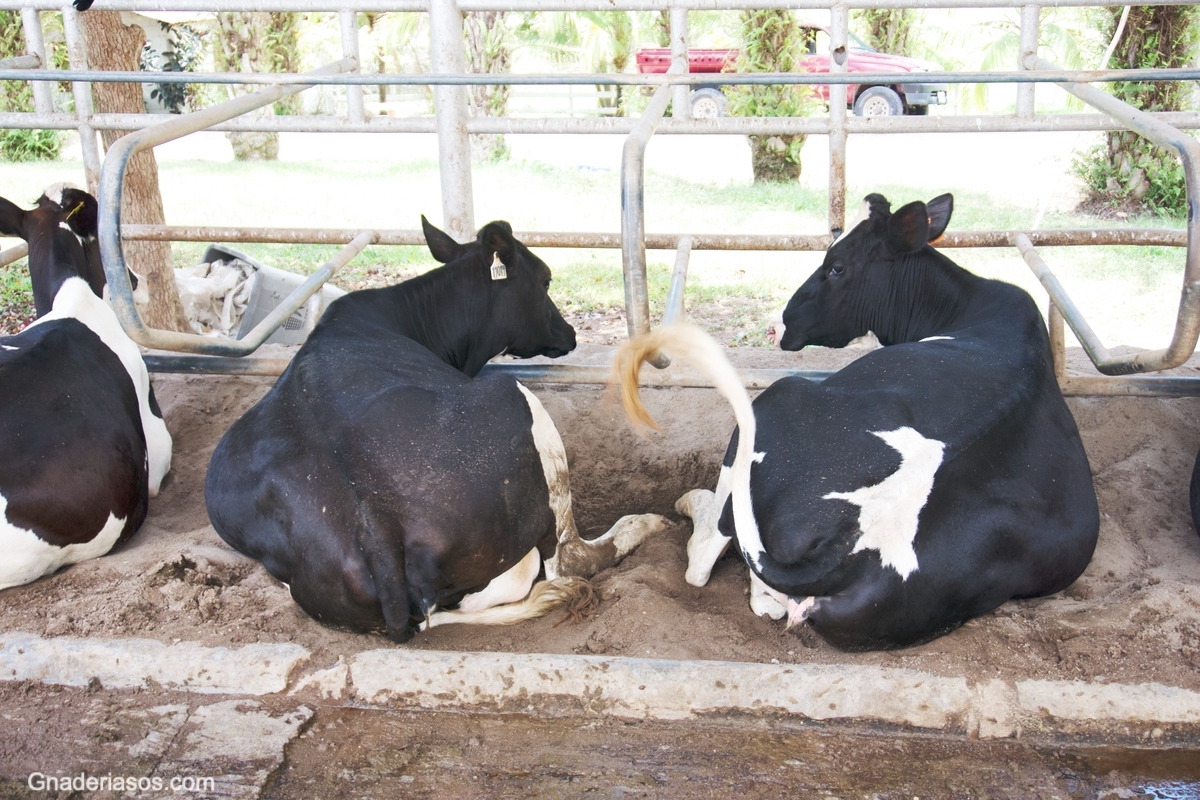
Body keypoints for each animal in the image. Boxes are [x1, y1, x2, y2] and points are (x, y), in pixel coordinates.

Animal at [208, 215, 676, 642]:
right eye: (545, 280)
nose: (571, 334)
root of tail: (374, 522)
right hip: (519, 404)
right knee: (570, 556)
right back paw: (646, 523)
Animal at [619, 194, 1099, 652]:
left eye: (836, 266)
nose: (775, 327)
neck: (971, 303)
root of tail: (848, 540)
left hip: (777, 400)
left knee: (706, 559)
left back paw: (691, 506)